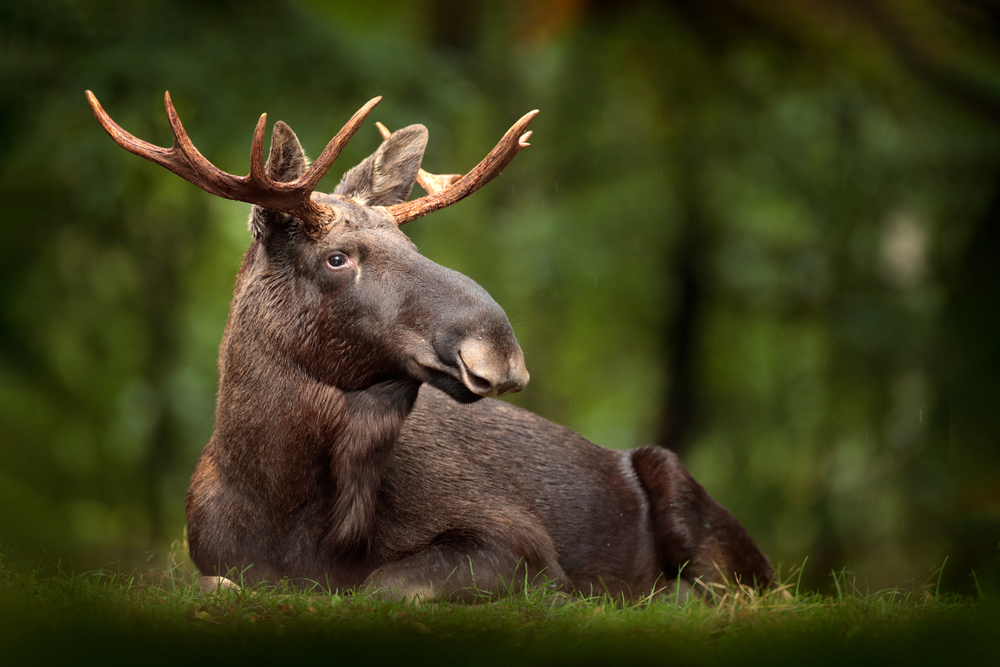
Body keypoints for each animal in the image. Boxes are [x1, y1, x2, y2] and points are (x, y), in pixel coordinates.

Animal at [86, 90, 772, 604]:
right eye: (337, 257)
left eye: (412, 247)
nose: (499, 348)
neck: (286, 506)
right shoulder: (207, 560)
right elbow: (218, 584)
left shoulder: (519, 540)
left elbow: (385, 585)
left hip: (692, 501)